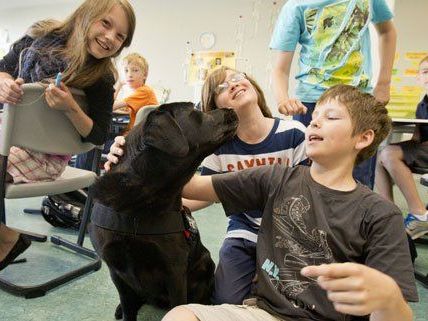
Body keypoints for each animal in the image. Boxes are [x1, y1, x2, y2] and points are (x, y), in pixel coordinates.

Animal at [89, 102, 239, 320]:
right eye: (196, 111)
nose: (232, 109)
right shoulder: (115, 270)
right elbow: (128, 307)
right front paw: (124, 310)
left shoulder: (174, 270)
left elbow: (179, 304)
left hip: (205, 262)